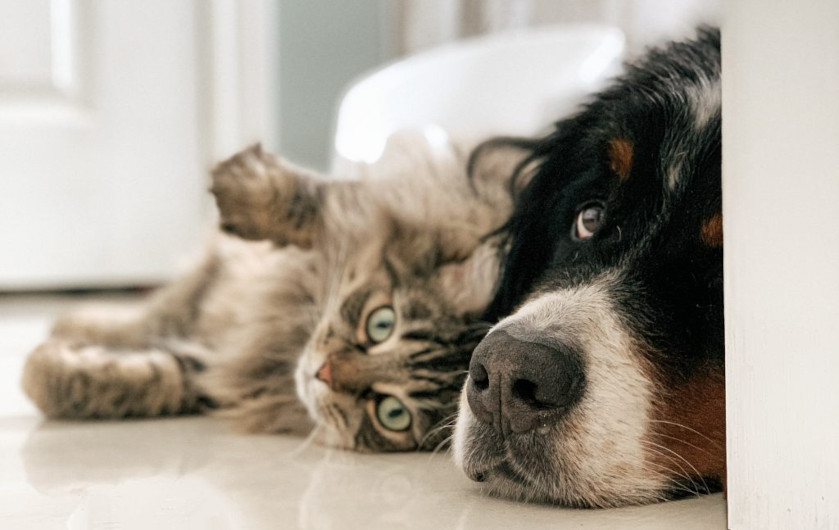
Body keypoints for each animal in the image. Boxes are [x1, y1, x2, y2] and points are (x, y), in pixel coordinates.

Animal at [21, 132, 524, 450]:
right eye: (381, 324)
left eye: (392, 413)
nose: (323, 373)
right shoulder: (395, 204)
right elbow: (315, 202)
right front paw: (241, 184)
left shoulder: (217, 372)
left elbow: (148, 377)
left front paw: (40, 370)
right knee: (152, 313)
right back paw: (73, 320)